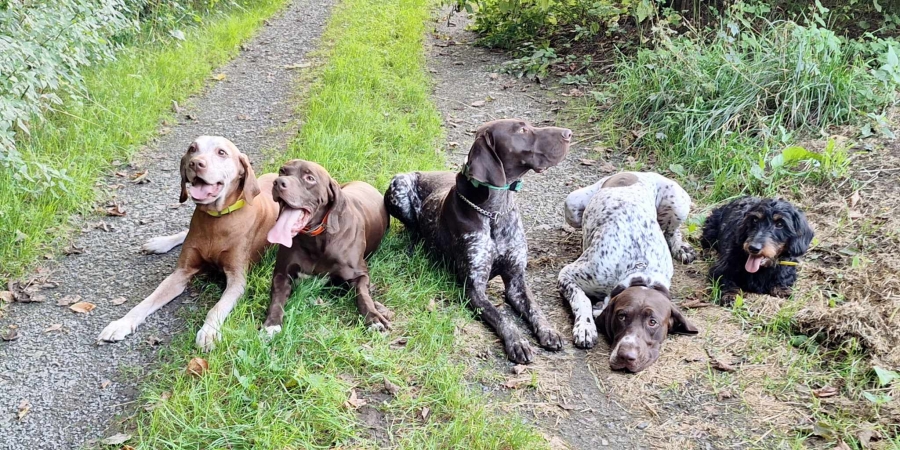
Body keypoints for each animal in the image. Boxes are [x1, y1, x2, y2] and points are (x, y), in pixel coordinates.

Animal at [99, 136, 278, 351]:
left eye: (221, 152)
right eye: (192, 149)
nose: (195, 163)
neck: (216, 220)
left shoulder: (238, 279)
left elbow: (217, 308)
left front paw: (209, 332)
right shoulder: (181, 273)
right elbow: (146, 302)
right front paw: (121, 323)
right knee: (185, 232)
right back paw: (160, 243)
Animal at [263, 160, 392, 334]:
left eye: (310, 178)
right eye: (282, 171)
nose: (278, 182)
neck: (316, 240)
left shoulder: (360, 275)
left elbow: (363, 295)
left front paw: (374, 318)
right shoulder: (282, 274)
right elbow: (277, 299)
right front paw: (271, 323)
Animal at [384, 119, 571, 364]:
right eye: (522, 130)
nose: (569, 133)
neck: (495, 212)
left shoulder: (516, 280)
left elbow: (535, 308)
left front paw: (548, 330)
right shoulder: (474, 289)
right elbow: (502, 316)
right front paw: (517, 341)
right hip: (398, 185)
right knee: (413, 228)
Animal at [558, 172, 698, 372]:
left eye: (653, 322)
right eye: (622, 316)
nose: (626, 355)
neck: (639, 269)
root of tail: (634, 172)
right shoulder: (569, 274)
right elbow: (581, 299)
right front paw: (585, 326)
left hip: (678, 203)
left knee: (672, 231)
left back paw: (681, 247)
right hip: (572, 205)